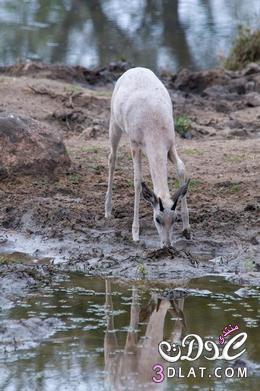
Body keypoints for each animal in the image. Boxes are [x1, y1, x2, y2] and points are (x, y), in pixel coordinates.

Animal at [104, 66, 191, 247]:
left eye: (175, 219)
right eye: (157, 219)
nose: (167, 245)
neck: (154, 127)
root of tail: (134, 68)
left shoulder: (170, 145)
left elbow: (181, 168)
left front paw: (187, 229)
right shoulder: (135, 145)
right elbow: (137, 181)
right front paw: (135, 233)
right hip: (114, 125)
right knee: (112, 158)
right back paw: (108, 210)